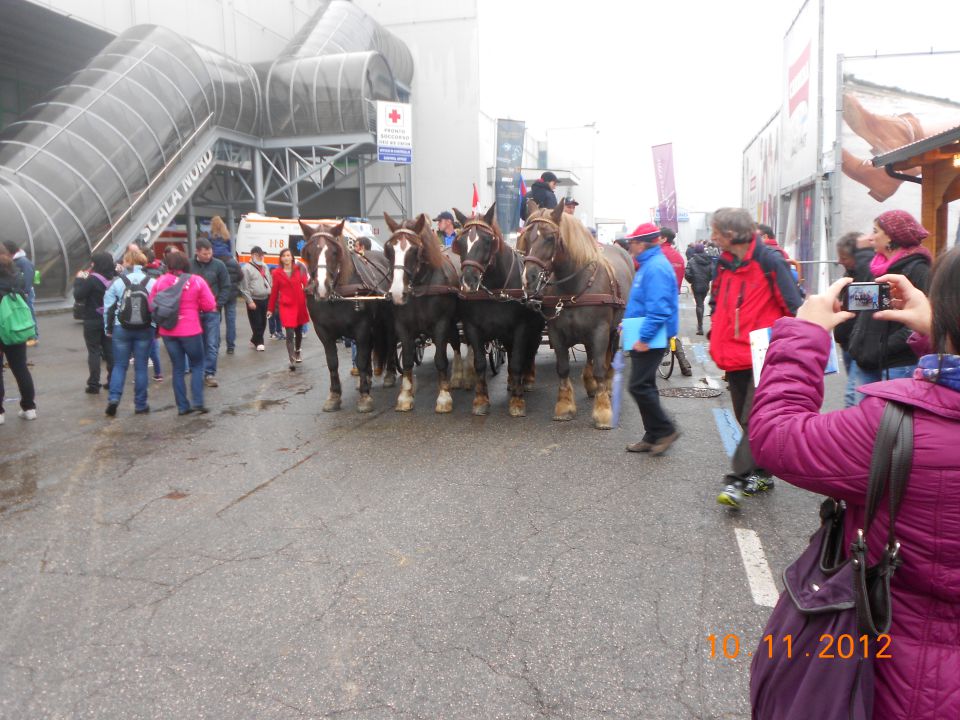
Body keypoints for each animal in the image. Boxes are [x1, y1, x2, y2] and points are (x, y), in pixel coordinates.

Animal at [296, 218, 394, 410]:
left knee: (391, 345)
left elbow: (361, 360)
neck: (337, 295)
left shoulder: (362, 328)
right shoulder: (323, 332)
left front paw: (365, 397)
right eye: (309, 252)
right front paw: (334, 395)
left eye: (335, 252)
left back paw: (389, 376)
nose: (322, 288)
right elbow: (332, 362)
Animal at [382, 211, 462, 414]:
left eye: (415, 250)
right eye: (388, 250)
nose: (397, 293)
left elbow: (440, 359)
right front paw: (405, 396)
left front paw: (444, 397)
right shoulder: (402, 326)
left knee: (459, 344)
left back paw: (459, 376)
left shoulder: (441, 324)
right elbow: (407, 359)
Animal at [452, 202, 544, 416]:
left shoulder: (521, 328)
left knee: (530, 351)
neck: (494, 290)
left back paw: (526, 380)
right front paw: (480, 400)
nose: (468, 281)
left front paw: (517, 402)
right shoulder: (472, 328)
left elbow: (518, 360)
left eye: (488, 241)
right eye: (460, 242)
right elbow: (479, 363)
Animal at [516, 200, 636, 430]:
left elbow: (600, 367)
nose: (528, 278)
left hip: (612, 329)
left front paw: (603, 411)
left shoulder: (600, 330)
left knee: (608, 355)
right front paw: (564, 406)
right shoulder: (557, 332)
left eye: (550, 237)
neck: (574, 288)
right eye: (526, 237)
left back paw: (606, 386)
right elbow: (562, 368)